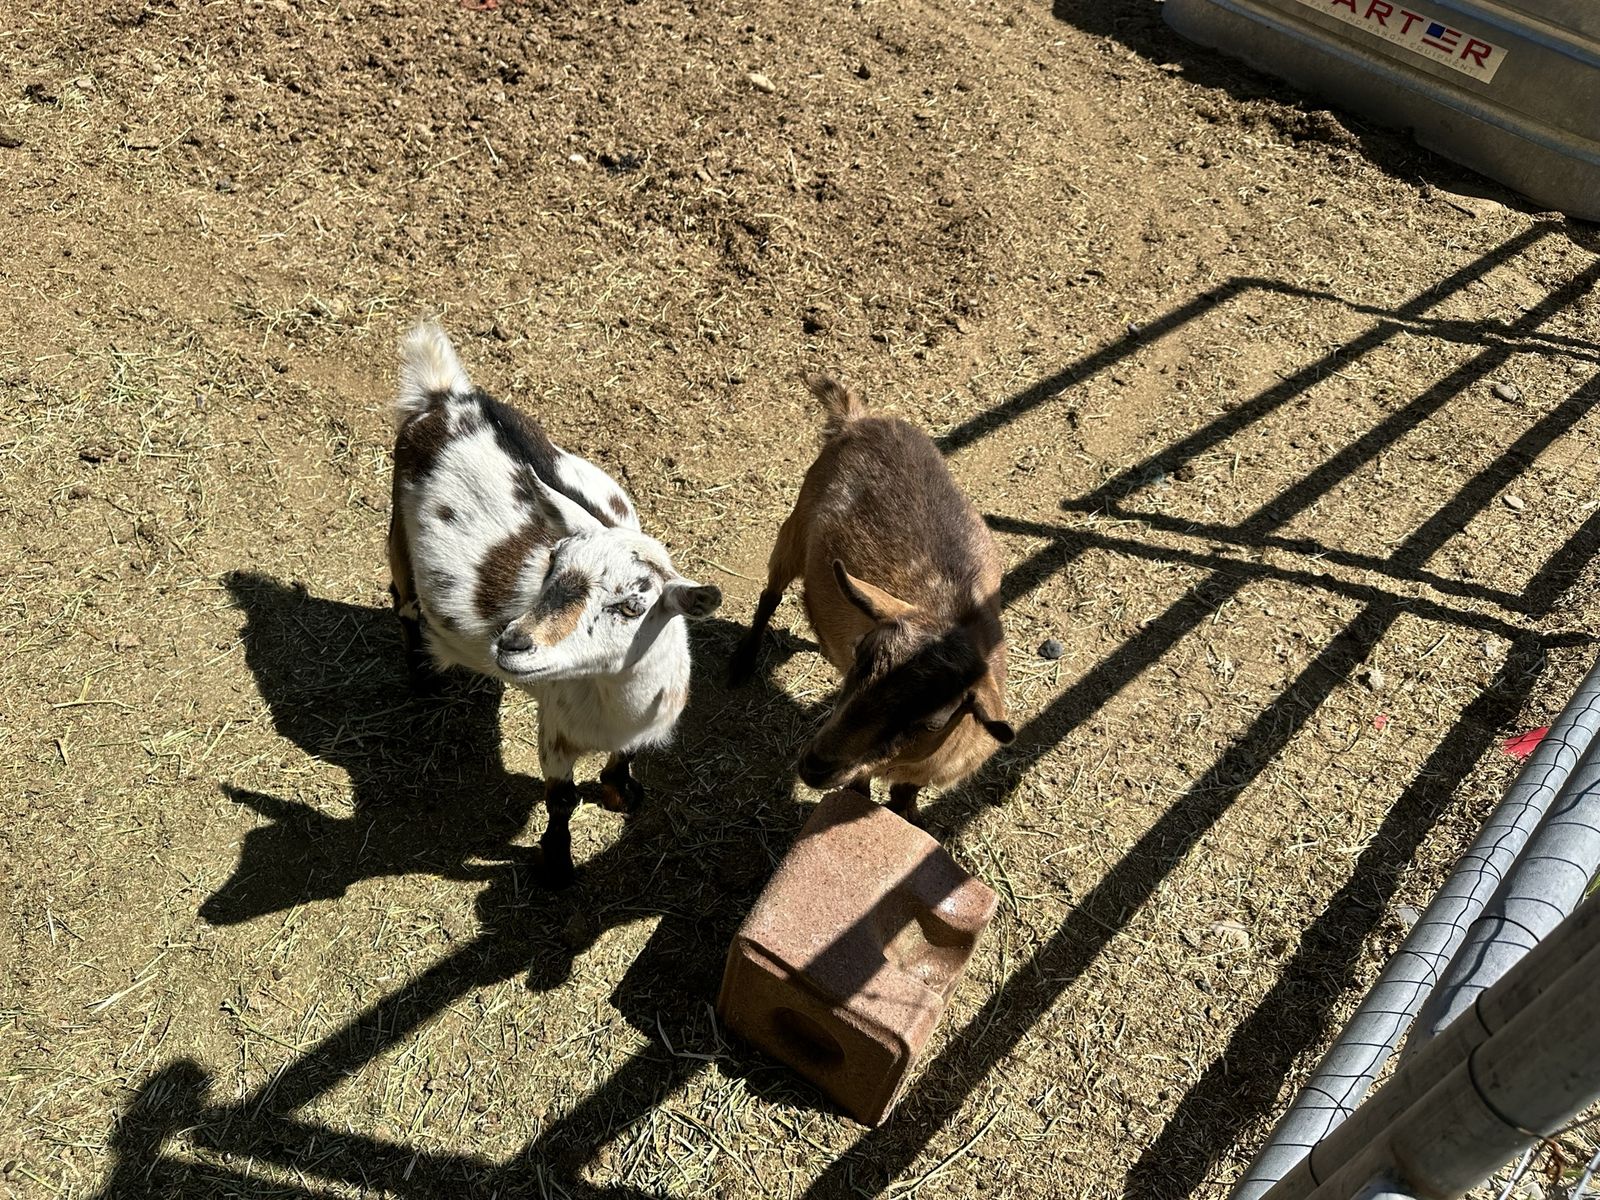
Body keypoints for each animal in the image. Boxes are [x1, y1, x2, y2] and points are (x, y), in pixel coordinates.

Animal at [388, 323, 722, 885]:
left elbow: (623, 758)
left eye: (633, 606)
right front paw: (559, 867)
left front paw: (620, 793)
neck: (613, 704)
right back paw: (422, 678)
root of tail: (444, 398)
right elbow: (561, 800)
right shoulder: (555, 731)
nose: (513, 642)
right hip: (397, 530)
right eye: (552, 566)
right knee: (403, 601)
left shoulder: (637, 729)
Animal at [730, 374, 1013, 822]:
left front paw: (910, 816)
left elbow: (904, 796)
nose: (815, 765)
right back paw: (743, 661)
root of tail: (857, 418)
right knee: (770, 593)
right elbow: (859, 789)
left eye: (931, 722)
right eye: (861, 658)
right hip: (795, 526)